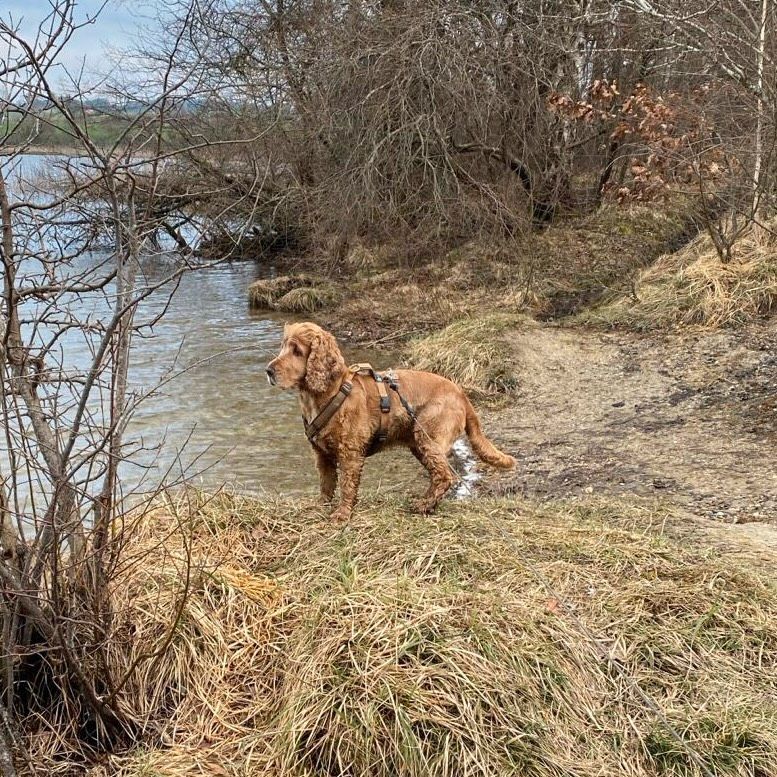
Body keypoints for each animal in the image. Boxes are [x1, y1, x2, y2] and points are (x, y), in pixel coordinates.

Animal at [266, 322, 516, 520]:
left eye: (297, 350)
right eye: (283, 347)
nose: (268, 370)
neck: (330, 392)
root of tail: (462, 394)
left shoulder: (350, 452)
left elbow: (347, 484)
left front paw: (342, 514)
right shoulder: (321, 454)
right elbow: (326, 483)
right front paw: (320, 506)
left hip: (428, 437)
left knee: (445, 476)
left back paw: (423, 505)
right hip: (419, 444)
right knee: (439, 475)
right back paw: (427, 505)